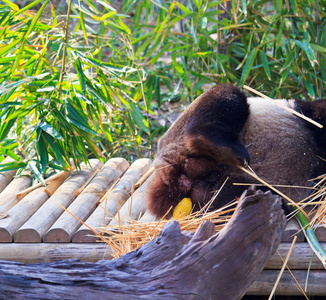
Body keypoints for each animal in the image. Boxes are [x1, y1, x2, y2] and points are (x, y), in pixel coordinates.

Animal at [146, 83, 326, 219]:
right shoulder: (310, 114)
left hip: (228, 187)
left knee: (226, 197)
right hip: (184, 126)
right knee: (226, 99)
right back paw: (224, 148)